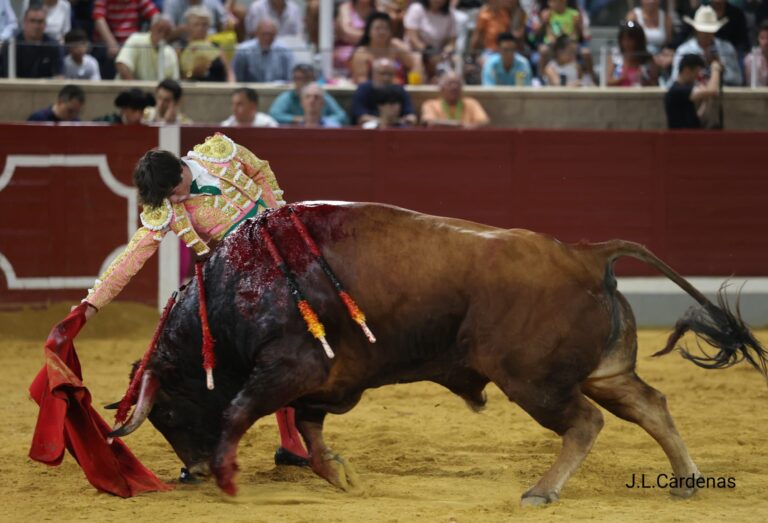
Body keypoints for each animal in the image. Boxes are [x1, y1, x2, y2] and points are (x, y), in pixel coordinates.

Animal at [111, 203, 764, 506]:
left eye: (166, 412)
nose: (191, 471)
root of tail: (583, 252)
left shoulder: (291, 368)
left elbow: (240, 409)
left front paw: (228, 474)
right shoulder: (324, 381)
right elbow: (309, 429)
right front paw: (341, 475)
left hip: (533, 381)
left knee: (586, 421)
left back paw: (542, 490)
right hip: (602, 371)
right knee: (650, 404)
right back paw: (686, 481)